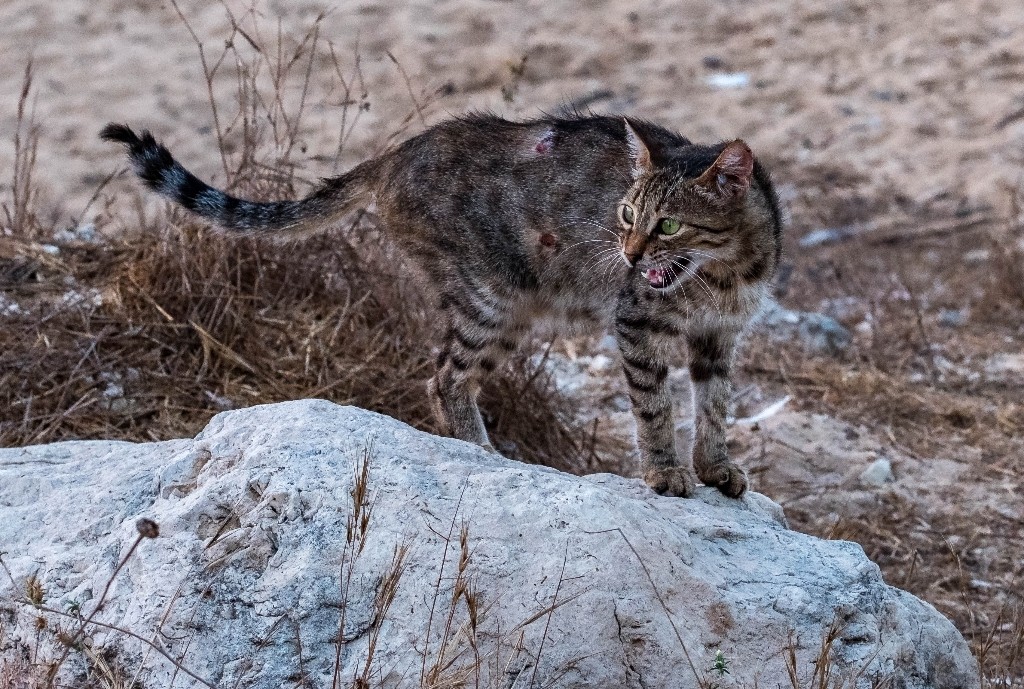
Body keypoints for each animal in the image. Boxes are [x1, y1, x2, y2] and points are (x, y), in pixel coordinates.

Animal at [99, 114, 778, 499]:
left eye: (668, 225)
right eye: (627, 214)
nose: (630, 254)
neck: (723, 274)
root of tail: (397, 152)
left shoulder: (721, 338)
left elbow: (715, 406)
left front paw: (715, 467)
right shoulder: (636, 321)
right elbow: (655, 407)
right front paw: (666, 473)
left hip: (513, 312)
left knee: (449, 378)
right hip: (490, 298)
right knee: (443, 377)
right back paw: (484, 455)